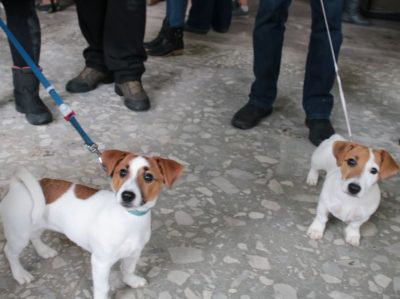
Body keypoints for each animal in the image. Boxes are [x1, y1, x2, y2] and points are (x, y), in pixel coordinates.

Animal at [0, 151, 184, 299]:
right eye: (122, 172)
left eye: (148, 177)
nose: (127, 195)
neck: (128, 218)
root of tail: (18, 186)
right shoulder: (100, 262)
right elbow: (103, 288)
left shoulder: (134, 253)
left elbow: (128, 269)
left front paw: (131, 281)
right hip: (19, 234)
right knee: (10, 252)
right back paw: (20, 274)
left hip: (36, 224)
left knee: (35, 236)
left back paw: (44, 250)